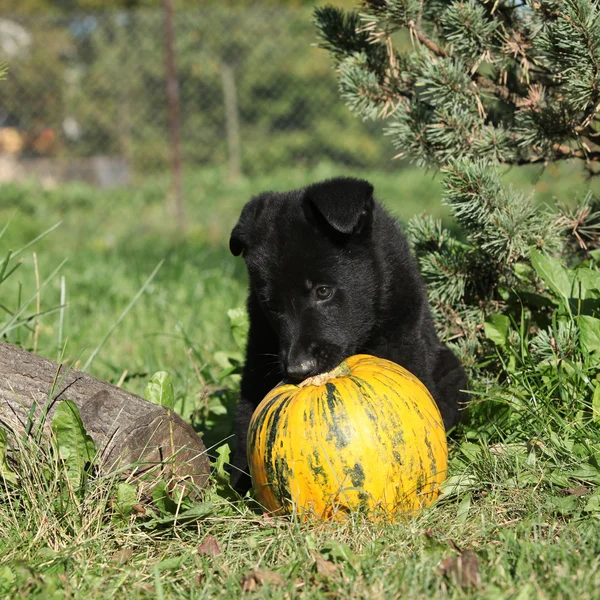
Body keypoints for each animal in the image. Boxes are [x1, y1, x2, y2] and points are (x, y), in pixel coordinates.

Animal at [227, 178, 466, 488]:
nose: (297, 368)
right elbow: (247, 415)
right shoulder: (259, 349)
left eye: (323, 291)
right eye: (272, 305)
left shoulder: (402, 339)